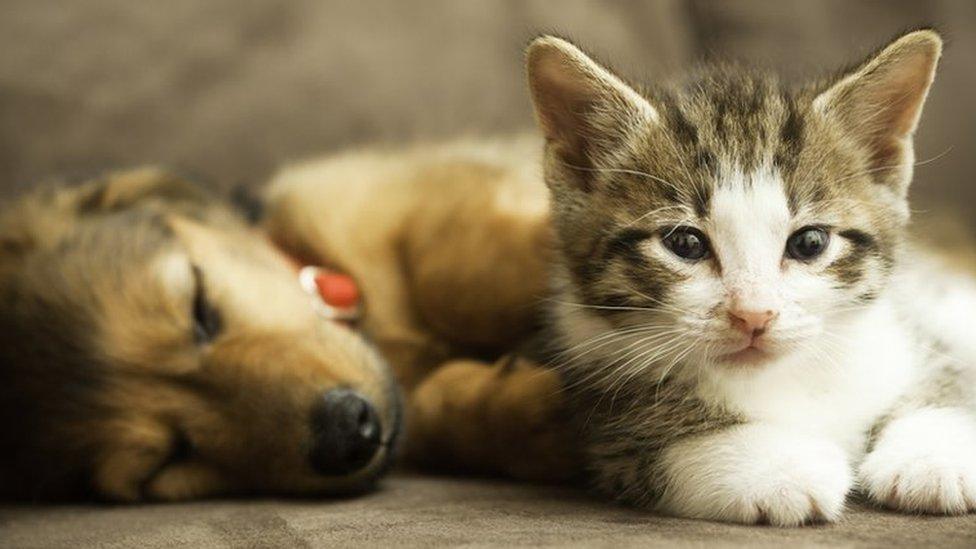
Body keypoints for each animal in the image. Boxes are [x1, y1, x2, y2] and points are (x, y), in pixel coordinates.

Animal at [528, 31, 976, 528]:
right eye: (685, 243)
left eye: (810, 242)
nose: (754, 315)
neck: (788, 377)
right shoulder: (595, 399)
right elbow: (647, 438)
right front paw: (776, 465)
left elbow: (949, 372)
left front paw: (934, 455)